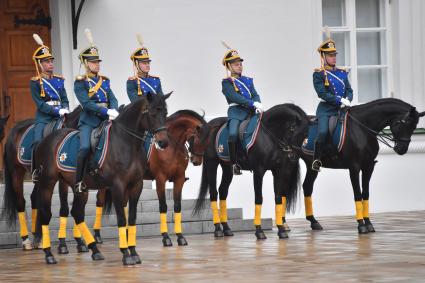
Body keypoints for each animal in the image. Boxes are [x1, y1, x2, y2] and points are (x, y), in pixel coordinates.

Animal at [34, 93, 170, 266]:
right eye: (152, 113)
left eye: (165, 113)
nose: (163, 142)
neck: (127, 143)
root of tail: (44, 140)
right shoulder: (117, 186)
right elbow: (121, 218)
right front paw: (126, 254)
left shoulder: (136, 185)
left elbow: (131, 218)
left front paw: (133, 252)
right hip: (47, 183)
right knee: (46, 214)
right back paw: (48, 254)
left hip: (79, 187)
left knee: (77, 213)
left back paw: (94, 250)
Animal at [93, 110, 210, 247]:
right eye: (198, 138)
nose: (197, 161)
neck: (172, 146)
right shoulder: (160, 179)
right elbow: (163, 206)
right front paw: (166, 237)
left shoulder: (179, 178)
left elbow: (177, 206)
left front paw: (180, 236)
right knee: (100, 201)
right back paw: (97, 235)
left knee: (124, 203)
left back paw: (126, 233)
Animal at [193, 105, 308, 242]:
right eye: (292, 129)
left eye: (306, 134)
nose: (293, 157)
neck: (269, 135)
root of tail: (209, 125)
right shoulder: (259, 171)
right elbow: (259, 198)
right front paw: (259, 231)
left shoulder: (278, 170)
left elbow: (278, 197)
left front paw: (281, 230)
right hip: (212, 164)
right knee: (213, 193)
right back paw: (217, 229)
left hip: (227, 167)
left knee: (223, 191)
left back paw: (226, 228)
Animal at [292, 98, 424, 234]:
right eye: (404, 123)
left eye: (414, 127)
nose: (402, 149)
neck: (362, 128)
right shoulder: (354, 167)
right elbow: (357, 194)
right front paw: (361, 225)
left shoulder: (368, 166)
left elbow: (365, 194)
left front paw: (369, 223)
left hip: (311, 166)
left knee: (307, 187)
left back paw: (314, 222)